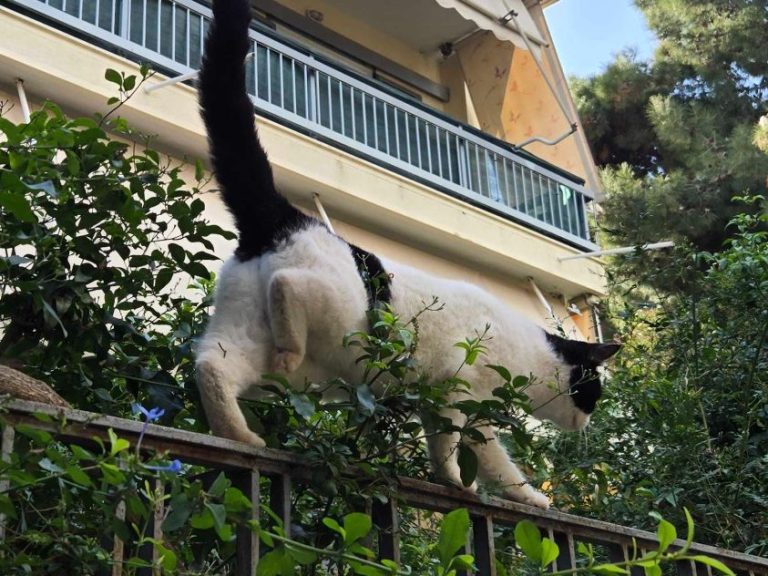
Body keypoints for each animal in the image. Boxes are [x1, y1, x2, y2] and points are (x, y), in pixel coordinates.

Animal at [194, 0, 620, 510]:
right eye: (593, 390)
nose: (590, 421)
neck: (526, 348)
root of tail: (283, 217)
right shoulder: (457, 393)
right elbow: (462, 451)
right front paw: (465, 484)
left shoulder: (462, 408)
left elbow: (486, 458)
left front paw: (514, 495)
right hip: (340, 311)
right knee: (290, 287)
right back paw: (289, 349)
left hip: (243, 331)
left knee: (212, 367)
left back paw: (239, 433)